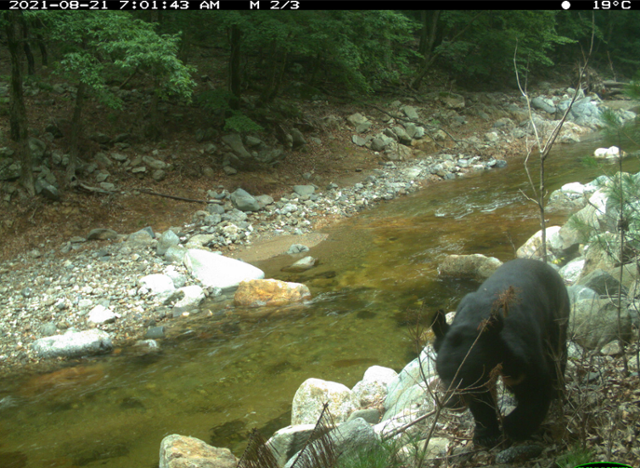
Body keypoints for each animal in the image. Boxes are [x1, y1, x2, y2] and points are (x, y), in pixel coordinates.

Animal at [430, 258, 568, 444]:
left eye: (466, 377)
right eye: (441, 374)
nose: (451, 403)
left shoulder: (522, 348)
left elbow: (536, 385)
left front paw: (513, 427)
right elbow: (481, 401)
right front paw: (485, 435)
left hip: (557, 312)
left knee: (558, 350)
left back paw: (558, 388)